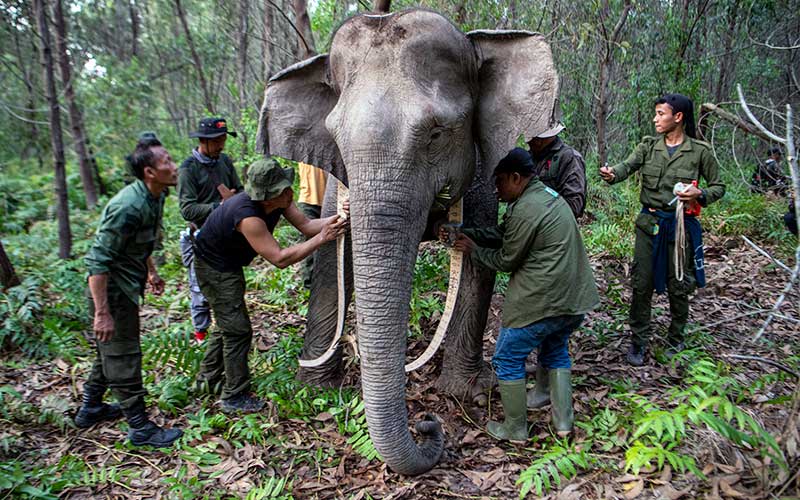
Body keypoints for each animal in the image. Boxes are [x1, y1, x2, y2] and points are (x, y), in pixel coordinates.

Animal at [260, 7, 560, 476]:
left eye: (437, 134)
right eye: (336, 138)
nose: (427, 424)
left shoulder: (482, 173)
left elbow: (479, 262)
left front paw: (465, 394)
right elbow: (331, 259)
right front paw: (314, 388)